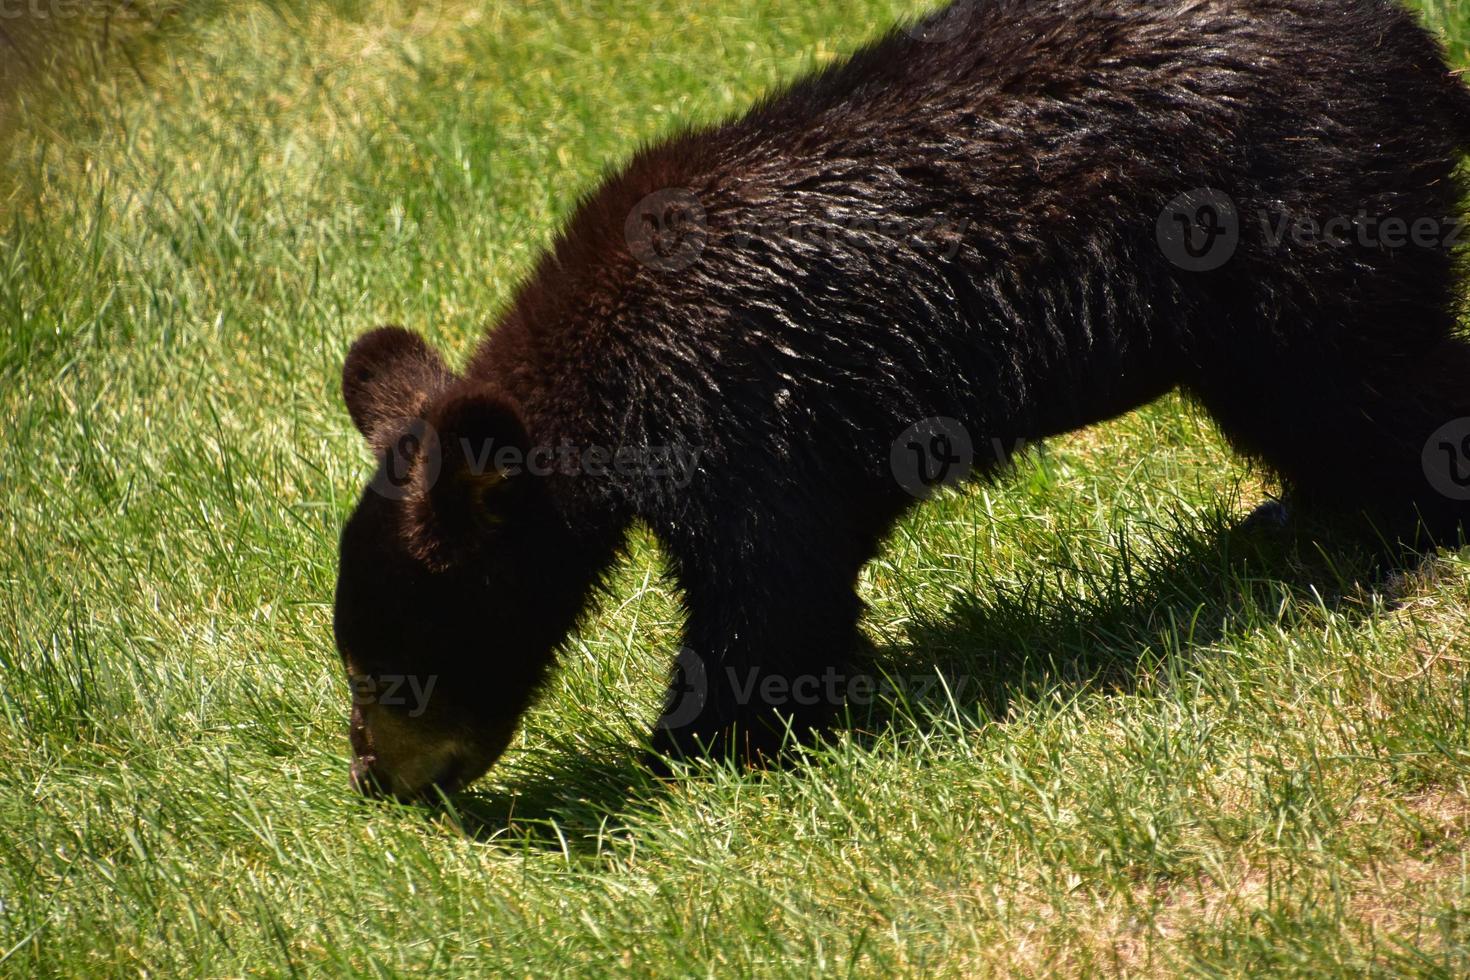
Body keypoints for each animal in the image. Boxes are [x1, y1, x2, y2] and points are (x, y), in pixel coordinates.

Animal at [333, 0, 1470, 799]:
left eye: (389, 670)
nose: (375, 780)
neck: (606, 373)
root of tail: (1416, 44)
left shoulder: (726, 394)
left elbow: (770, 583)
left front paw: (695, 745)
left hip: (1300, 220)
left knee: (1362, 385)